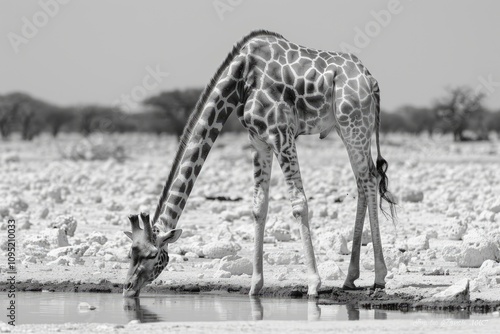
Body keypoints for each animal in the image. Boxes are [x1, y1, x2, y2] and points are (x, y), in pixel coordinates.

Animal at [123, 30, 396, 298]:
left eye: (151, 255)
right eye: (130, 253)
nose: (127, 288)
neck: (240, 77)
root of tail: (370, 79)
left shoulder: (281, 135)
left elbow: (299, 204)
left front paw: (313, 283)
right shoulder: (258, 141)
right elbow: (258, 207)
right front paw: (255, 286)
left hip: (354, 125)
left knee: (369, 180)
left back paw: (379, 277)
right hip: (346, 128)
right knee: (364, 181)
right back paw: (350, 278)